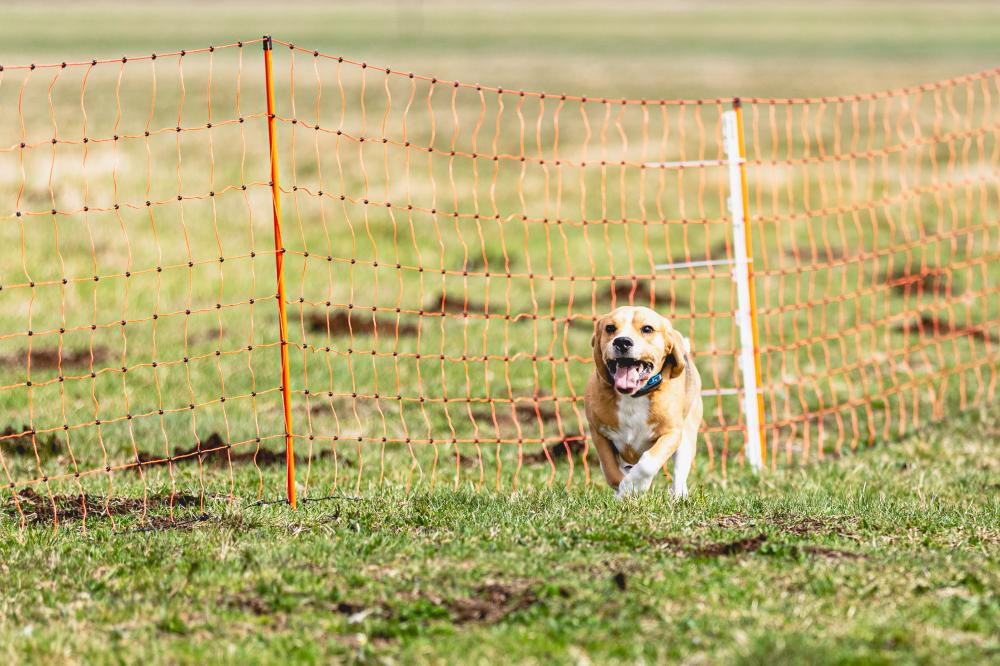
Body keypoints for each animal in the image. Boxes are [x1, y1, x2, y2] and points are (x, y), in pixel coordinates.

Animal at [584, 304, 700, 496]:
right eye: (610, 328)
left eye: (647, 329)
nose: (622, 342)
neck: (633, 396)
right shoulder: (598, 432)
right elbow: (610, 469)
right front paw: (623, 491)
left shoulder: (672, 433)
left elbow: (648, 463)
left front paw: (635, 486)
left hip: (687, 436)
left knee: (679, 472)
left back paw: (678, 495)